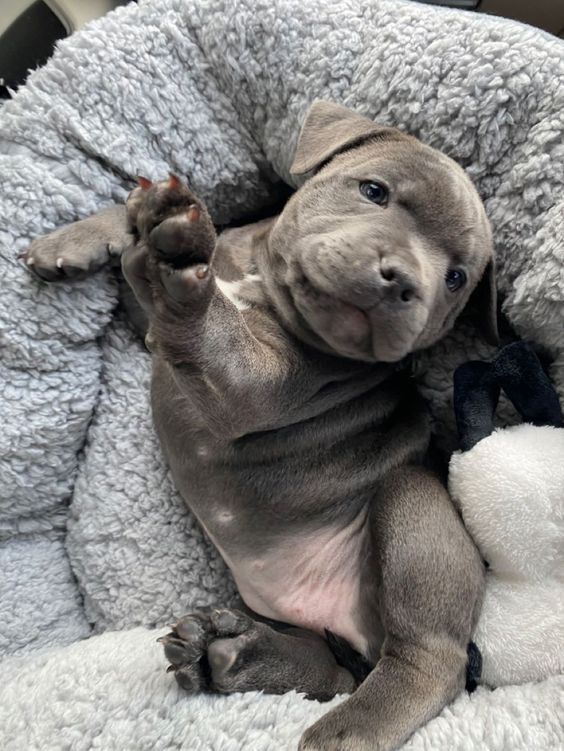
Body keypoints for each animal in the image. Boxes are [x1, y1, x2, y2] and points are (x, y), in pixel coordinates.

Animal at [24, 101, 496, 751]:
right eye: (373, 191)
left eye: (456, 278)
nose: (404, 279)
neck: (258, 280)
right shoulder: (155, 334)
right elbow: (138, 268)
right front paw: (95, 232)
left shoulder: (251, 385)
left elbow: (209, 333)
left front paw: (179, 258)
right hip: (298, 624)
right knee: (334, 670)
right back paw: (229, 654)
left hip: (411, 507)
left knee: (427, 659)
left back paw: (341, 730)